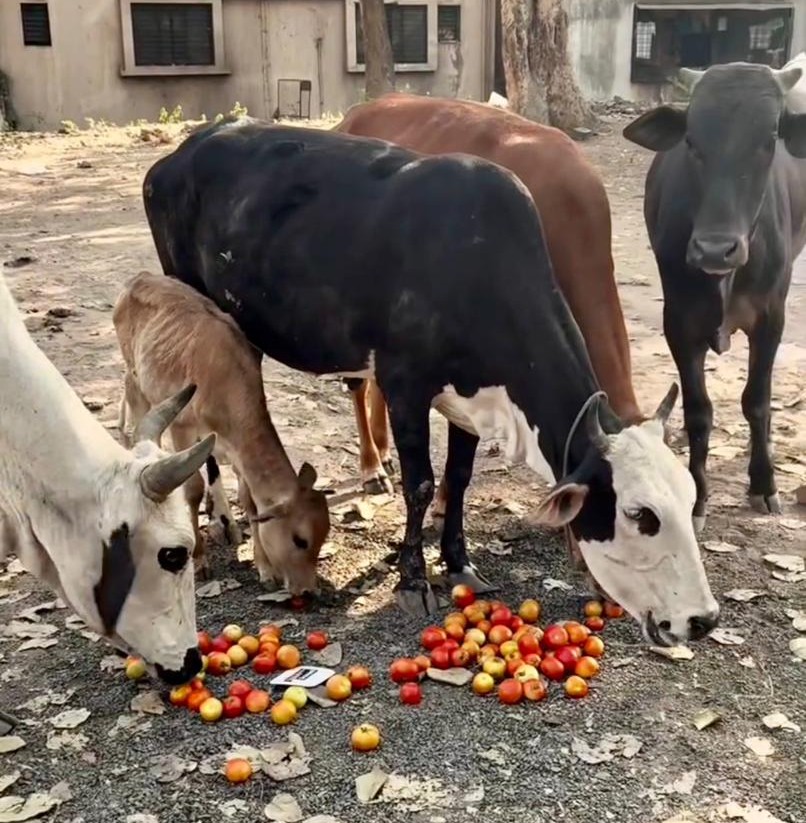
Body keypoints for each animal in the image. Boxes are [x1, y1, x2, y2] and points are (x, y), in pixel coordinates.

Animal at [113, 271, 331, 593]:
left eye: (323, 537)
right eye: (300, 540)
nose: (307, 591)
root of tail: (138, 278)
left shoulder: (235, 446)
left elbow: (249, 499)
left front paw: (265, 569)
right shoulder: (182, 427)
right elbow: (192, 489)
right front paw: (200, 560)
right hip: (135, 377)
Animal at [623, 56, 806, 531]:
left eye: (769, 139)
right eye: (691, 138)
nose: (713, 249)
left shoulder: (771, 317)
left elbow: (757, 402)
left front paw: (764, 483)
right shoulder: (679, 321)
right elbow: (698, 411)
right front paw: (698, 498)